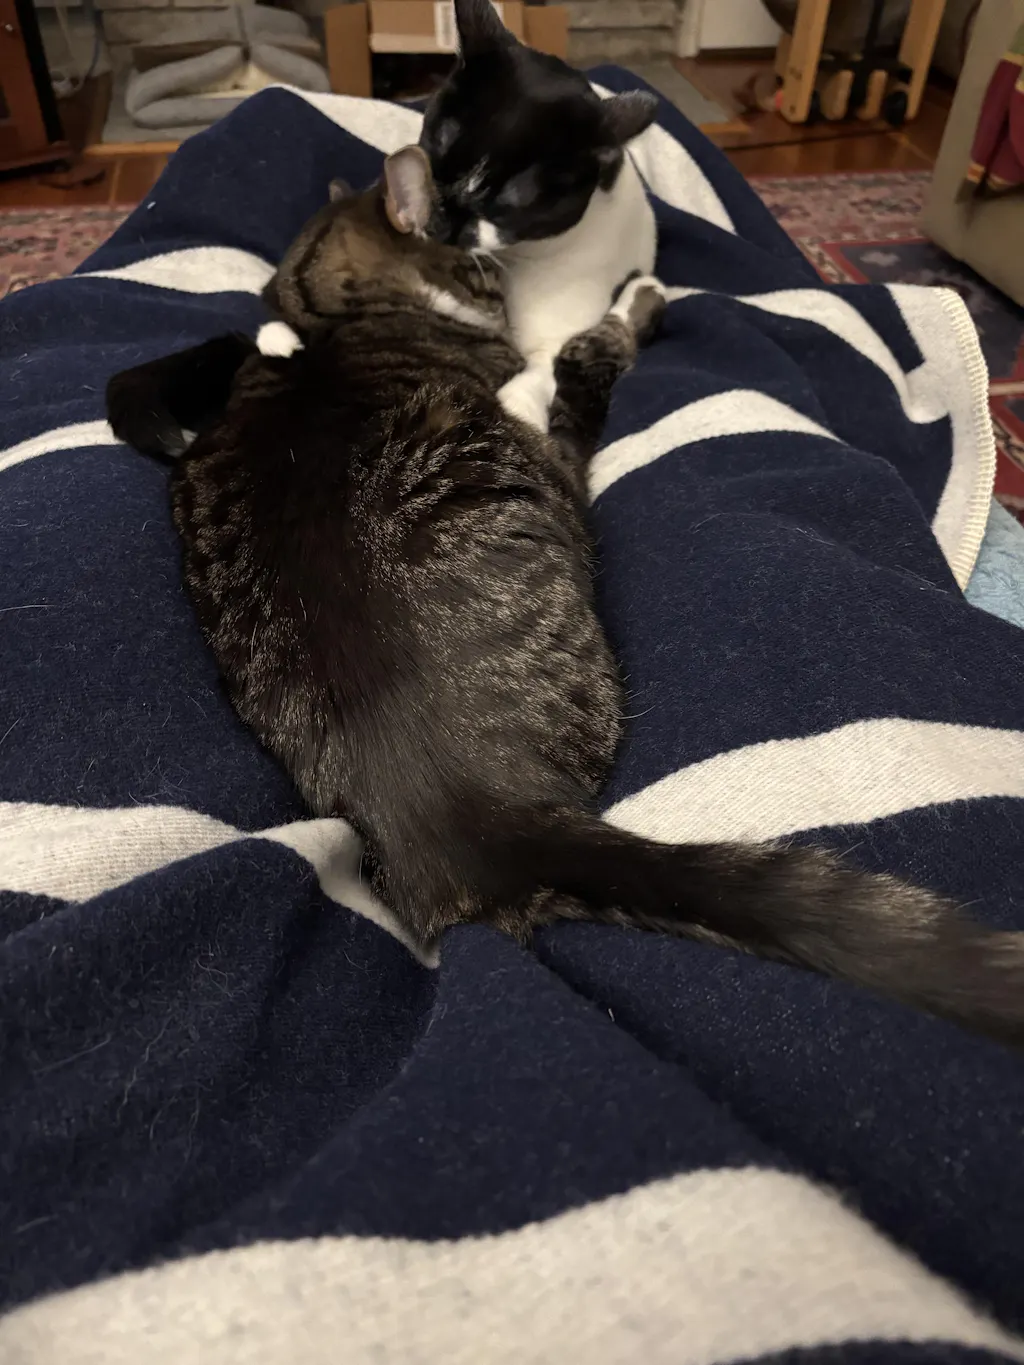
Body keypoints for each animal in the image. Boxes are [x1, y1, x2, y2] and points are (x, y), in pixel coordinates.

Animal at [106, 148, 1024, 1050]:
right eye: (476, 259)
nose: (498, 273)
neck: (328, 324)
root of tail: (476, 816)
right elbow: (575, 356)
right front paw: (629, 299)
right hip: (545, 483)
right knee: (586, 378)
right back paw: (638, 302)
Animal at [418, 0, 659, 430]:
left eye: (508, 204)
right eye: (436, 148)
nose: (443, 222)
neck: (514, 259)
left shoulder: (565, 333)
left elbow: (543, 368)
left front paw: (516, 408)